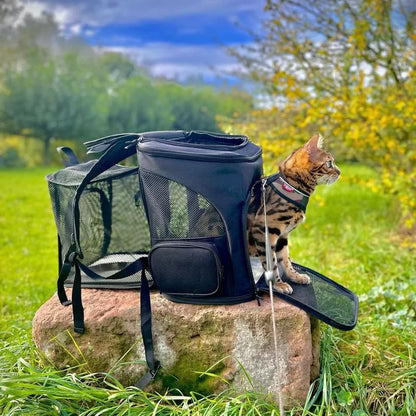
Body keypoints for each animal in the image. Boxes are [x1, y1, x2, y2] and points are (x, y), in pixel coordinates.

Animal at [247, 135, 338, 294]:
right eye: (329, 163)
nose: (340, 172)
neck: (293, 187)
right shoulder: (264, 230)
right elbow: (271, 263)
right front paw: (278, 284)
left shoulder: (282, 236)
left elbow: (285, 259)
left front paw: (295, 276)